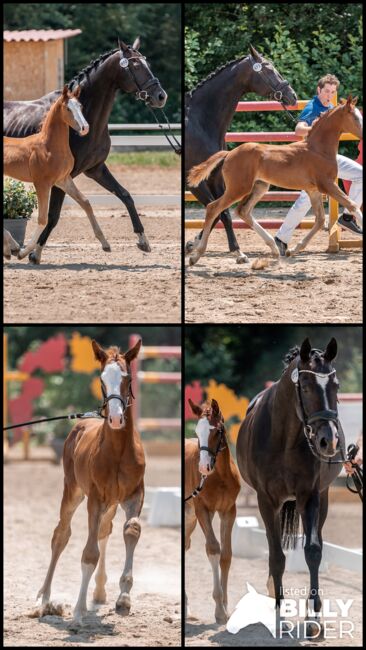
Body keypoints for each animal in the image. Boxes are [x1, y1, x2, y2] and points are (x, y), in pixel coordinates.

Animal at [37, 336, 145, 620]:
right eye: (101, 379)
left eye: (128, 377)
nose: (116, 418)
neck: (117, 451)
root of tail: (81, 422)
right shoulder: (95, 498)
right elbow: (88, 554)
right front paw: (78, 610)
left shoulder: (134, 495)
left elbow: (131, 530)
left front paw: (124, 598)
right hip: (73, 491)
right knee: (61, 535)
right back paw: (45, 598)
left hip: (111, 503)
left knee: (104, 532)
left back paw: (99, 593)